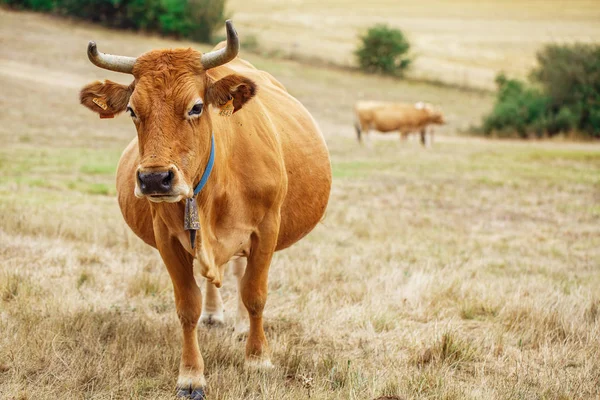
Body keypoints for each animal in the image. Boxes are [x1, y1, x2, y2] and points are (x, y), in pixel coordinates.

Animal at [78, 21, 332, 396]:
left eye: (196, 107)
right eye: (132, 110)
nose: (154, 179)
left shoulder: (266, 230)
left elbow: (255, 294)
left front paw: (258, 359)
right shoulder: (168, 239)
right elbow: (187, 306)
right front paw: (191, 376)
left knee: (242, 275)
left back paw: (241, 327)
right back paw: (215, 315)